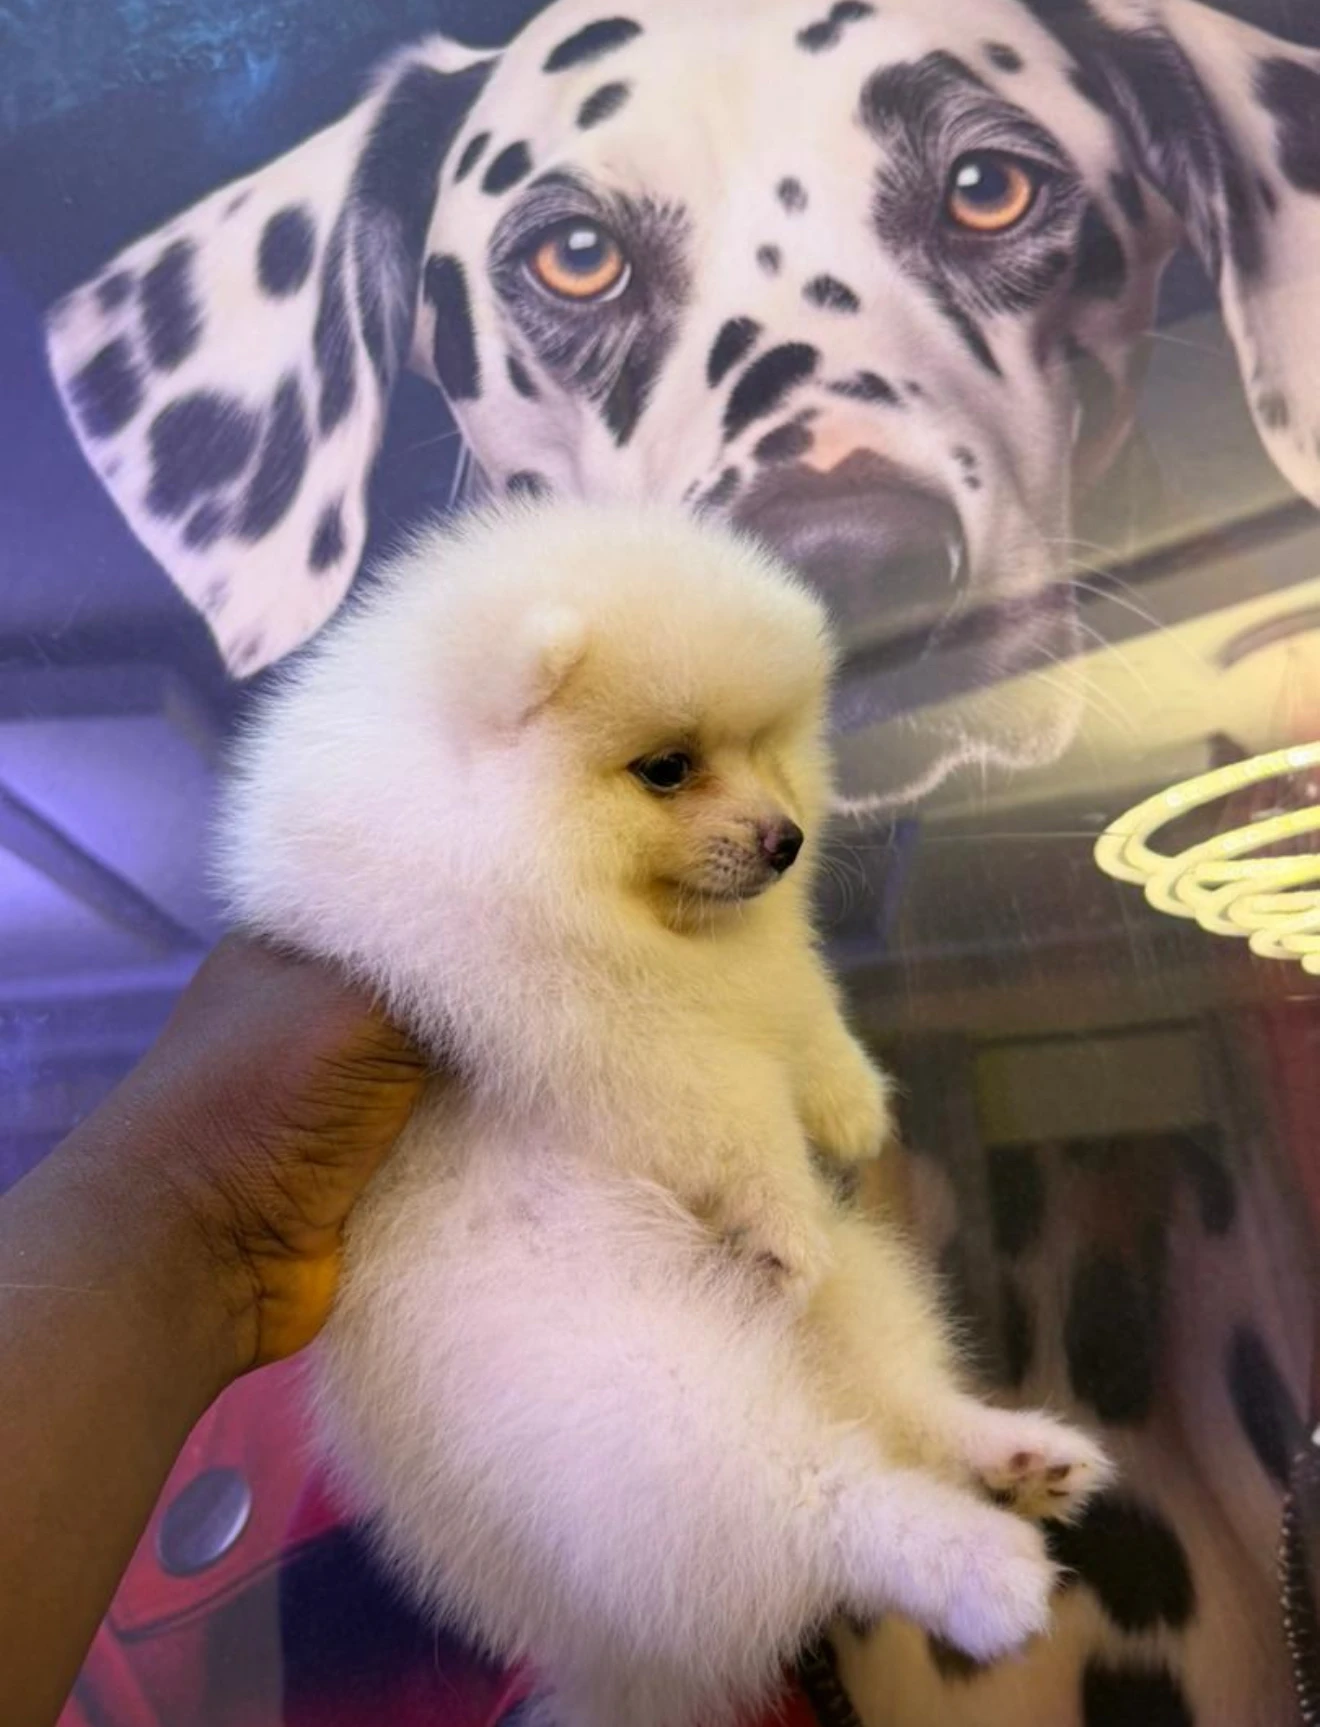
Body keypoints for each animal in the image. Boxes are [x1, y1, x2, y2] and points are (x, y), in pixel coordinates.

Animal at [217, 500, 1112, 1727]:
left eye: (766, 745)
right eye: (667, 768)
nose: (786, 837)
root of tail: (608, 1663)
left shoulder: (757, 981)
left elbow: (805, 1020)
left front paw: (852, 1109)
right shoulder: (603, 1037)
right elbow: (735, 1120)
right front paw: (785, 1212)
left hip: (837, 1321)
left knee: (900, 1404)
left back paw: (1018, 1457)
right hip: (652, 1415)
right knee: (826, 1497)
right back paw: (981, 1568)